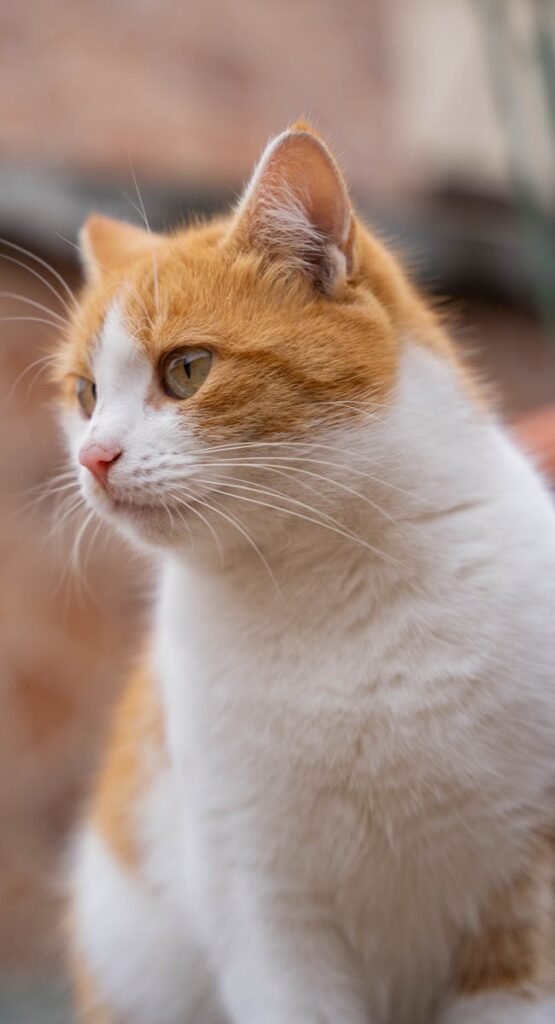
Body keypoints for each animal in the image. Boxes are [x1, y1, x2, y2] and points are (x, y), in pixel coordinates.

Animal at [59, 121, 555, 1024]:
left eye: (186, 370)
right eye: (84, 395)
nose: (93, 457)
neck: (321, 588)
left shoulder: (523, 902)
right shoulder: (264, 909)